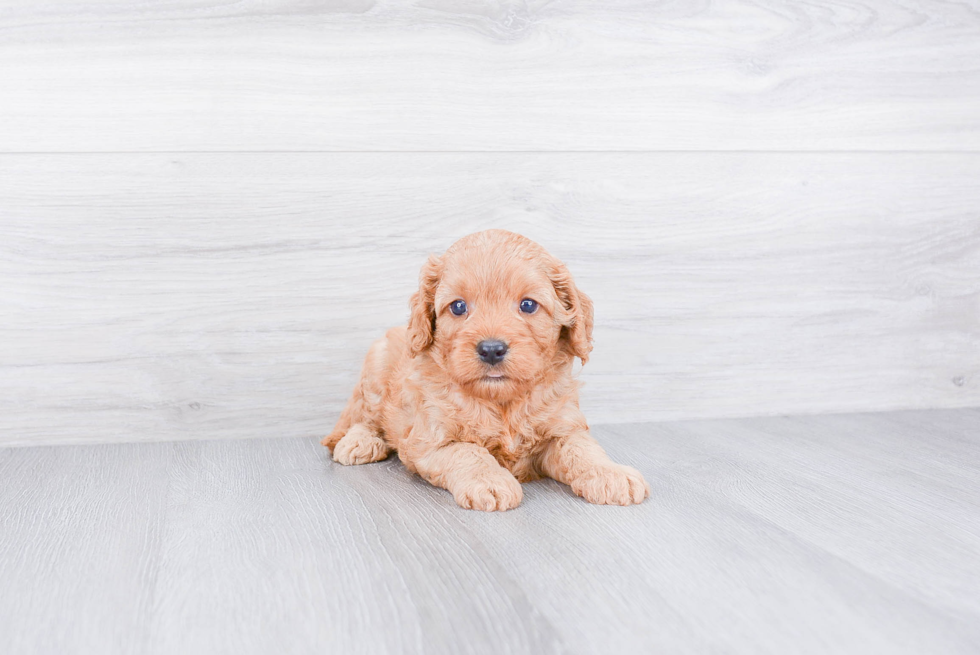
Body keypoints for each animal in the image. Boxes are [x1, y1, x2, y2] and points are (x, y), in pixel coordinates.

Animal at [324, 231, 652, 512]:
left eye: (528, 305)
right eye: (458, 307)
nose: (491, 349)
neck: (502, 402)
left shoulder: (562, 425)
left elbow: (582, 448)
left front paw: (611, 473)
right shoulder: (429, 441)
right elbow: (468, 451)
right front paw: (490, 481)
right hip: (375, 370)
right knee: (363, 418)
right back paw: (359, 442)